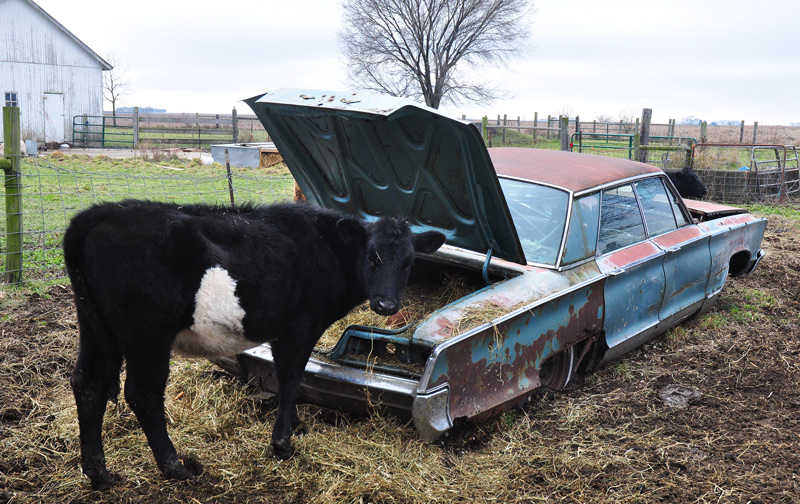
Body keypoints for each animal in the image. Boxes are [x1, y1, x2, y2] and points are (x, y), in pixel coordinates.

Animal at [63, 200, 446, 490]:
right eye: (371, 256)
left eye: (409, 263)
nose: (386, 305)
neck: (321, 246)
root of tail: (101, 214)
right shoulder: (300, 326)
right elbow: (291, 379)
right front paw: (282, 444)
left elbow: (285, 379)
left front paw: (294, 426)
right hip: (147, 336)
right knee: (143, 394)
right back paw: (176, 468)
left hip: (96, 328)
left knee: (89, 385)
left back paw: (99, 474)